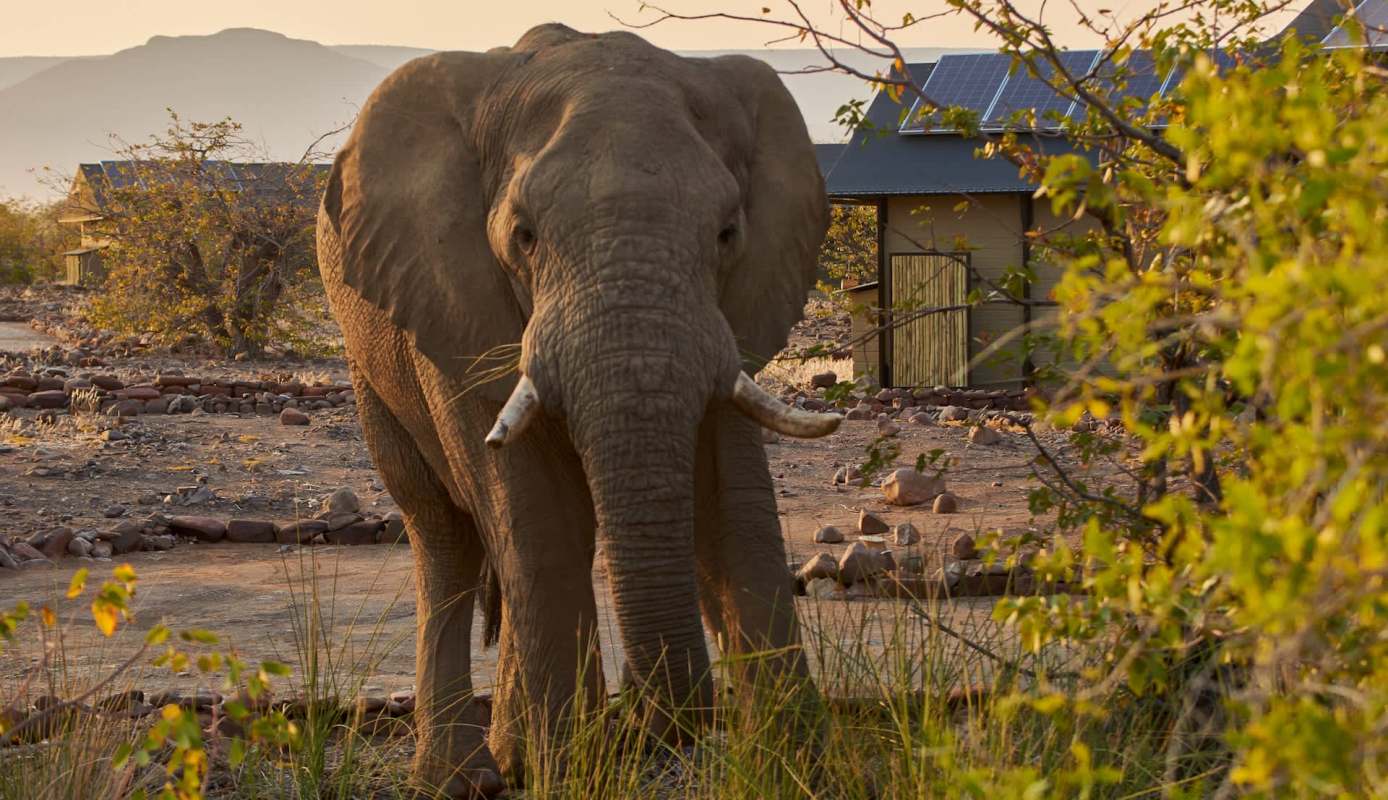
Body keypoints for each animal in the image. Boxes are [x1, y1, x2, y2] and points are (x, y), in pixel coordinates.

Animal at [317, 23, 839, 797]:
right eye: (524, 236)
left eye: (727, 234)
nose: (646, 726)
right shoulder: (457, 301)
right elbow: (532, 511)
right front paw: (572, 773)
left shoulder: (737, 309)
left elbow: (735, 502)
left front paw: (803, 771)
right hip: (368, 362)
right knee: (445, 533)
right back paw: (466, 777)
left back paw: (512, 757)